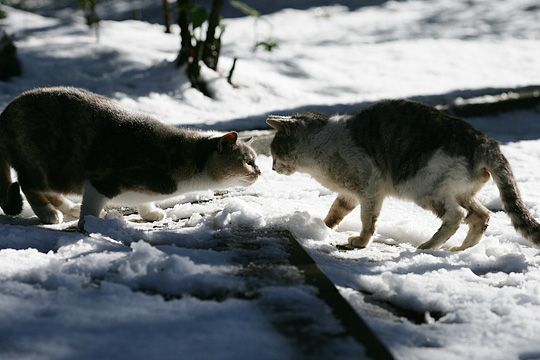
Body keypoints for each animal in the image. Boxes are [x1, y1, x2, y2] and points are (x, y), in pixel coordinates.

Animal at [0, 86, 262, 229]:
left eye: (255, 160)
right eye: (248, 161)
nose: (259, 171)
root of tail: (5, 113)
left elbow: (143, 201)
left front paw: (150, 211)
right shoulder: (103, 180)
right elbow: (91, 207)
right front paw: (90, 224)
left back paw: (68, 207)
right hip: (43, 164)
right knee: (28, 184)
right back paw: (49, 213)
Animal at [268, 98, 540, 250]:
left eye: (274, 152)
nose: (271, 168)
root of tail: (486, 141)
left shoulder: (370, 189)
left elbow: (368, 221)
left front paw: (361, 242)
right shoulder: (350, 194)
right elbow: (335, 212)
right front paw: (319, 229)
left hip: (423, 187)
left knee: (456, 216)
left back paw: (428, 246)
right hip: (461, 192)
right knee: (481, 215)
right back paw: (460, 248)